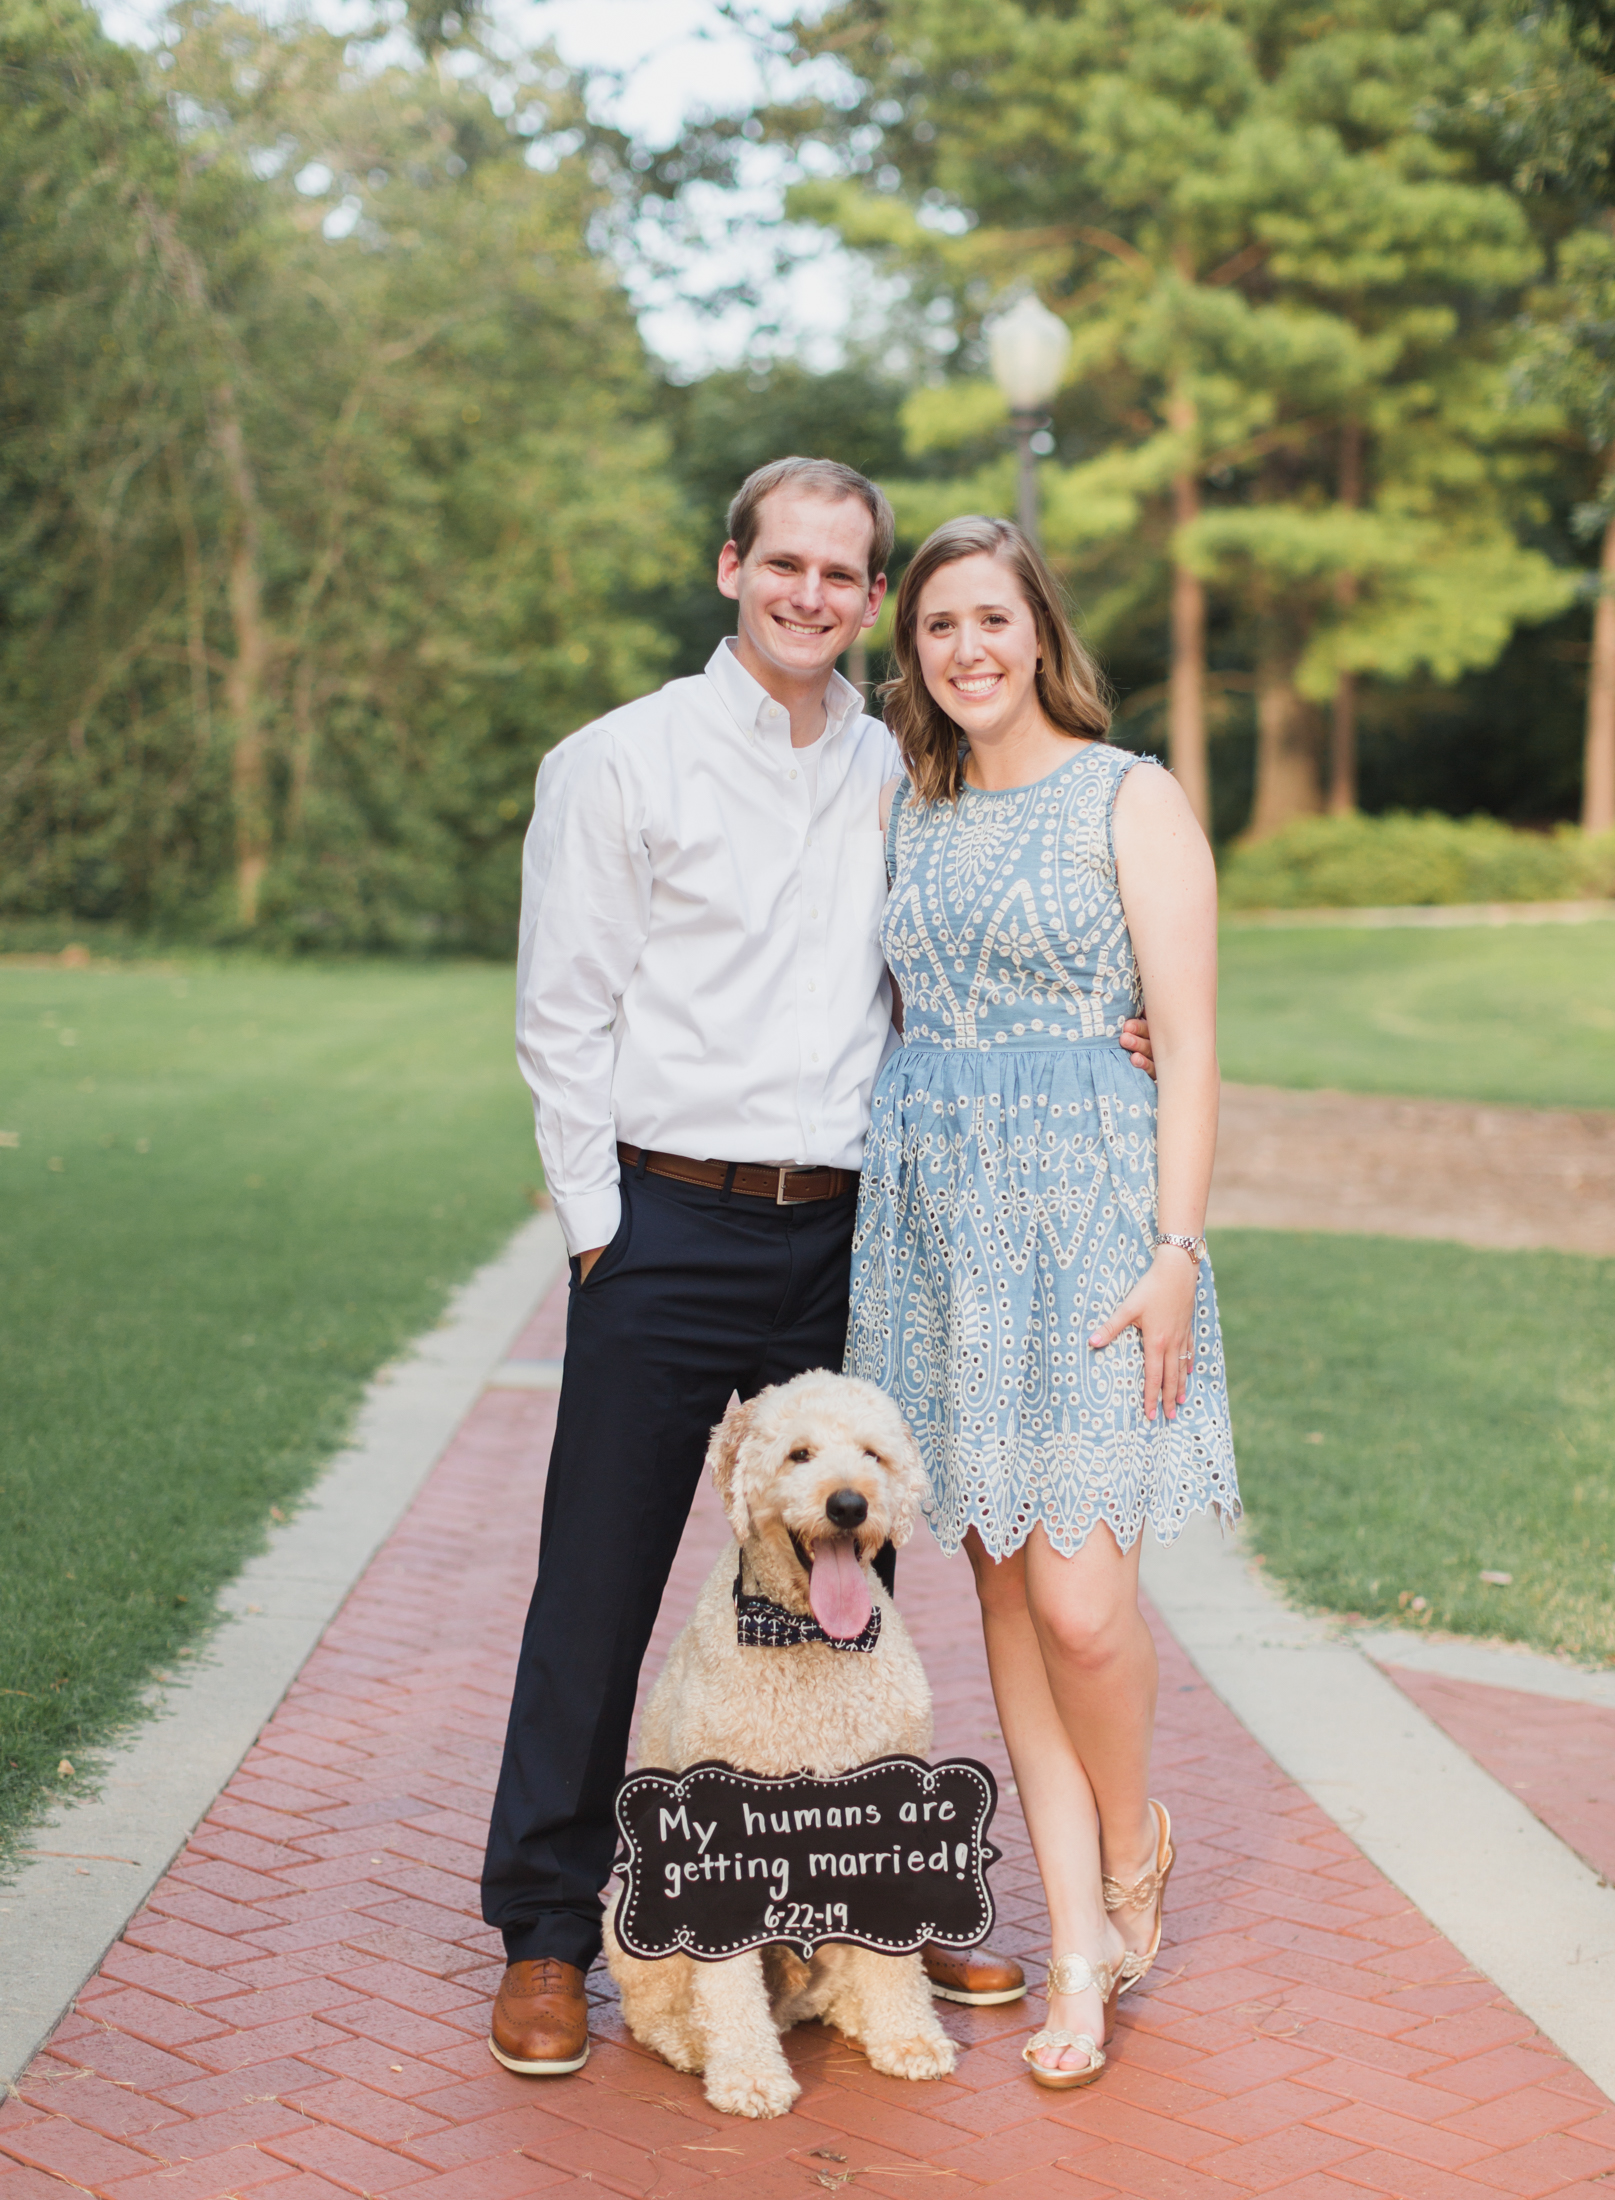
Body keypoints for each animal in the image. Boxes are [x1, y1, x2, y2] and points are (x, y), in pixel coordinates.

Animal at [607, 1372, 959, 2112]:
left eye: (873, 1454)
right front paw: (748, 2075)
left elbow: (894, 1959)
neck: (808, 1637)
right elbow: (726, 1983)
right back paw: (693, 2044)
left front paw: (909, 2038)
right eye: (799, 1454)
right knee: (653, 2009)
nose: (850, 1503)